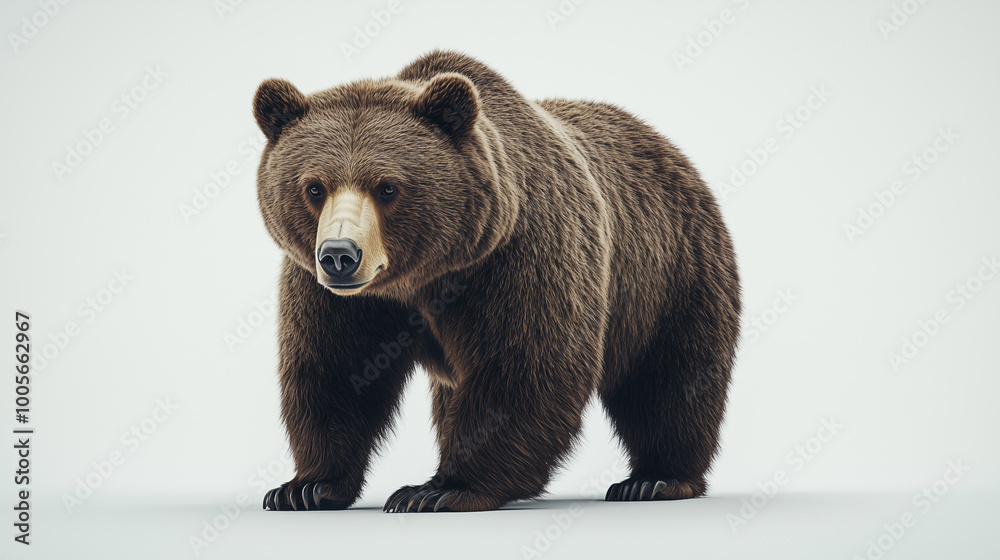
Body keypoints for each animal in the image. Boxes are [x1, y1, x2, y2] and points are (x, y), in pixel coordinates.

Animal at [252, 50, 741, 513]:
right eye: (314, 187)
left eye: (388, 186)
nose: (339, 256)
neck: (424, 273)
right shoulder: (337, 295)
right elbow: (335, 369)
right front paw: (305, 487)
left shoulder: (517, 254)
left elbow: (523, 367)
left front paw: (436, 490)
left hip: (670, 270)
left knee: (670, 377)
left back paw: (655, 480)